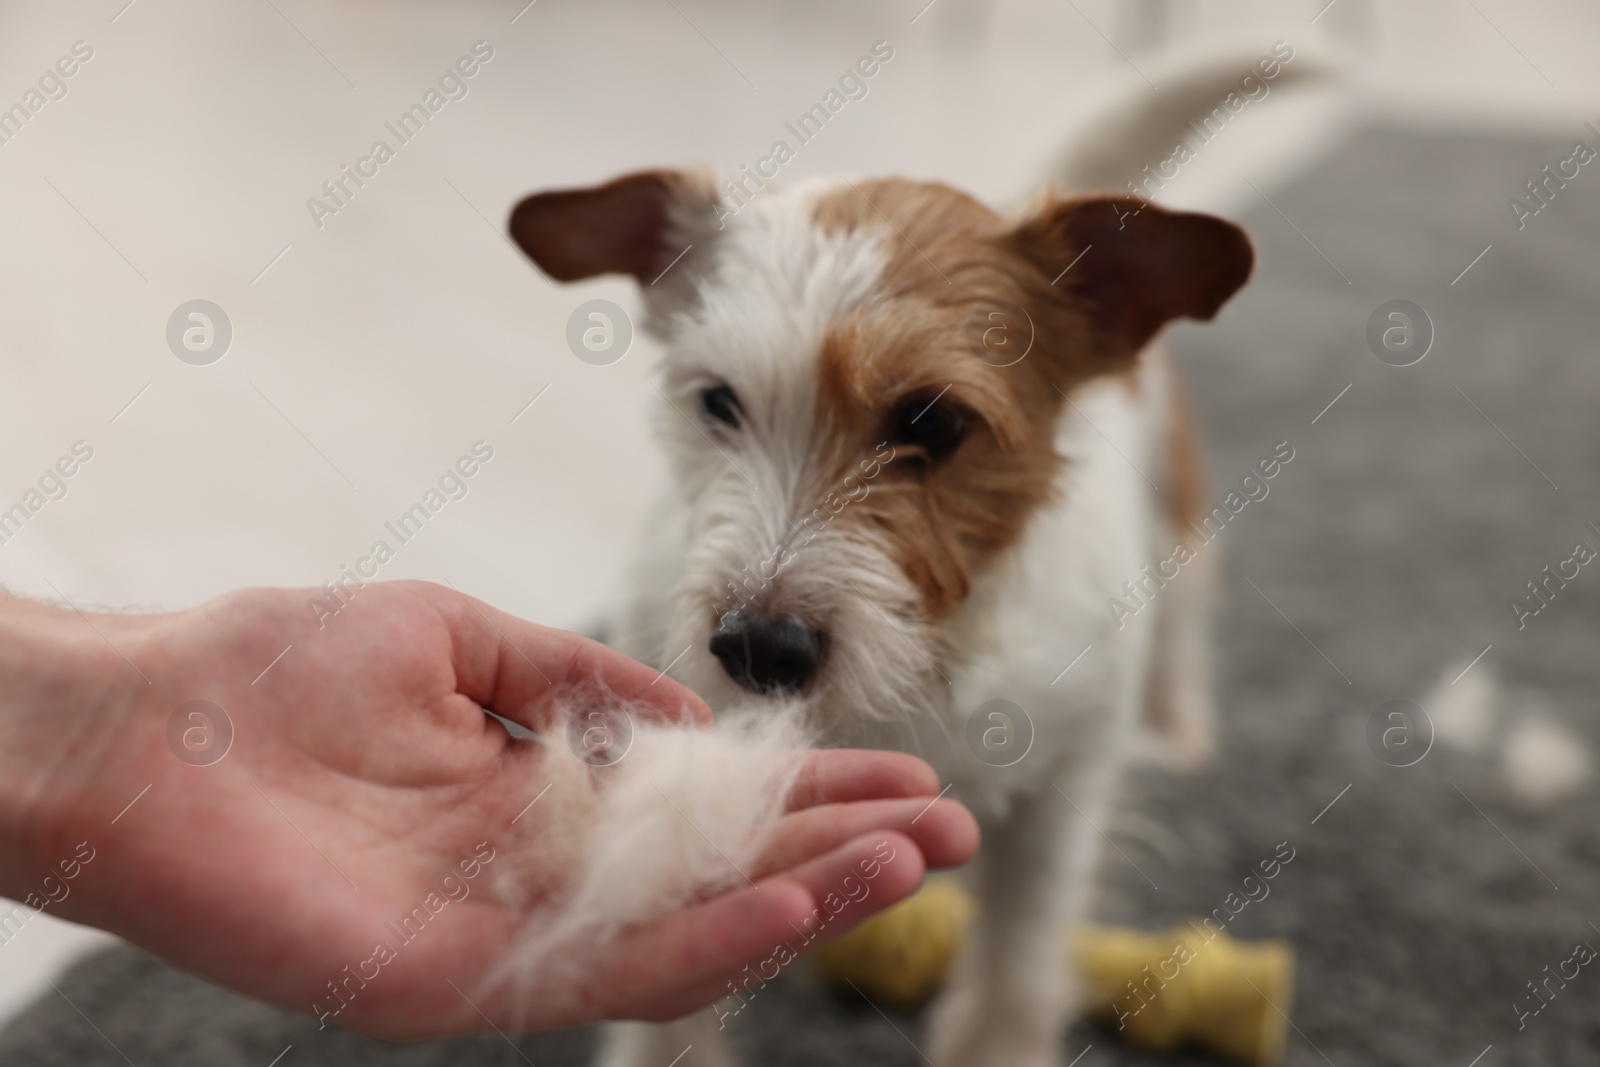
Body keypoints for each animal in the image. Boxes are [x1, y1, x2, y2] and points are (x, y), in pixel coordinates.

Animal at [505, 64, 1254, 1067]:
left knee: (1189, 606)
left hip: (1179, 512)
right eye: (718, 401)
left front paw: (997, 1042)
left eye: (931, 421)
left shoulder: (1065, 789)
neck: (931, 658)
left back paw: (1178, 725)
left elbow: (1020, 946)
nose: (758, 648)